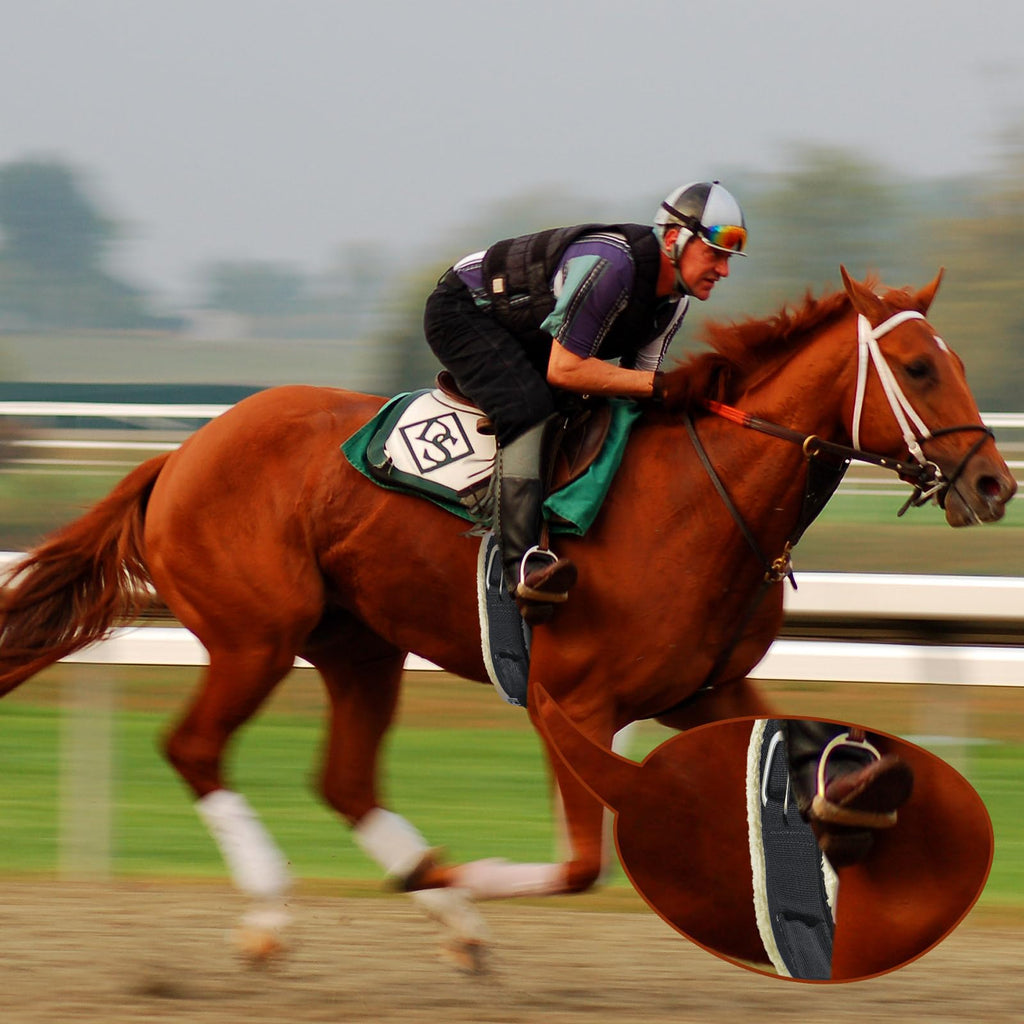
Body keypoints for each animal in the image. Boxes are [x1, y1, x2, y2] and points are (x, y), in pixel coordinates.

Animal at [0, 267, 1015, 968]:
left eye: (963, 364)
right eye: (919, 367)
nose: (994, 484)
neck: (700, 500)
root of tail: (180, 454)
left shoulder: (712, 688)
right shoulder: (575, 703)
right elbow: (581, 864)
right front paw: (459, 874)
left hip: (358, 644)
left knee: (345, 781)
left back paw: (443, 912)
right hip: (256, 634)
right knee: (196, 749)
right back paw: (279, 914)